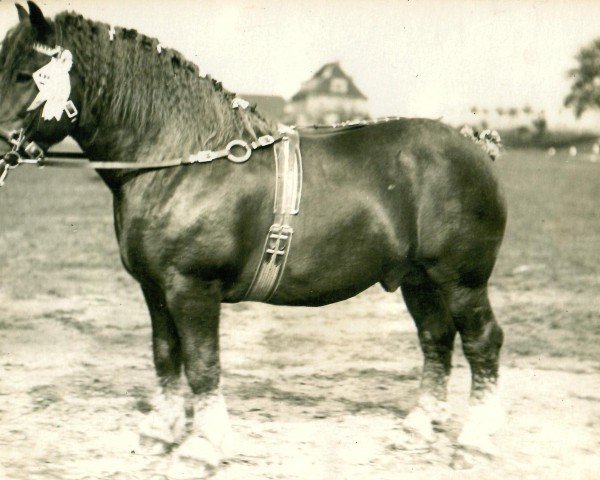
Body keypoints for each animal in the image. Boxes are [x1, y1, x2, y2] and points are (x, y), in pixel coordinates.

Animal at [0, 2, 506, 476]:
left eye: (27, 75)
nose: (2, 146)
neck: (182, 161)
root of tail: (474, 146)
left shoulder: (192, 289)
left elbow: (202, 364)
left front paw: (202, 448)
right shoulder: (155, 289)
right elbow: (166, 356)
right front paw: (159, 432)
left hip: (461, 282)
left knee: (483, 343)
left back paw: (475, 442)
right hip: (419, 280)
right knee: (436, 339)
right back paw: (418, 428)